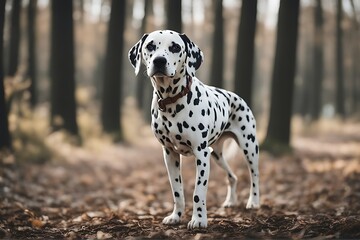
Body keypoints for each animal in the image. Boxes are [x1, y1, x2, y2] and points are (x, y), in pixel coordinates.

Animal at [129, 30, 258, 229]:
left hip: (249, 147)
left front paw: (198, 220)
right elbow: (177, 191)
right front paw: (175, 216)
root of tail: (237, 97)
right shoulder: (170, 155)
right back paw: (230, 201)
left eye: (175, 47)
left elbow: (198, 192)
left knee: (254, 176)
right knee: (232, 177)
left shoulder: (201, 154)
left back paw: (253, 202)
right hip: (217, 154)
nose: (159, 61)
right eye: (150, 46)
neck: (171, 100)